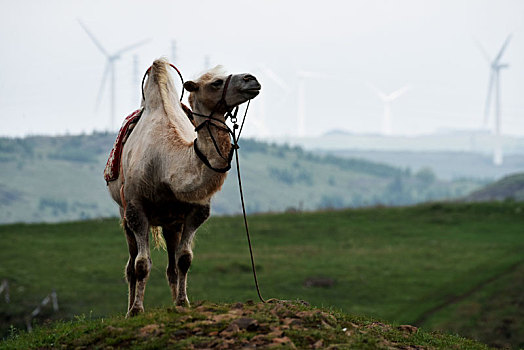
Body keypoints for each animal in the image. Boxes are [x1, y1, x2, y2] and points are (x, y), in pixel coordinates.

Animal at [107, 59, 260, 318]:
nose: (252, 79)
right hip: (124, 212)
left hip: (171, 222)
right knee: (130, 264)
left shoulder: (195, 212)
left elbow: (184, 259)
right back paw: (129, 309)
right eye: (216, 82)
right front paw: (137, 309)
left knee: (172, 265)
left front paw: (182, 302)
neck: (166, 164)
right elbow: (141, 264)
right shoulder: (136, 208)